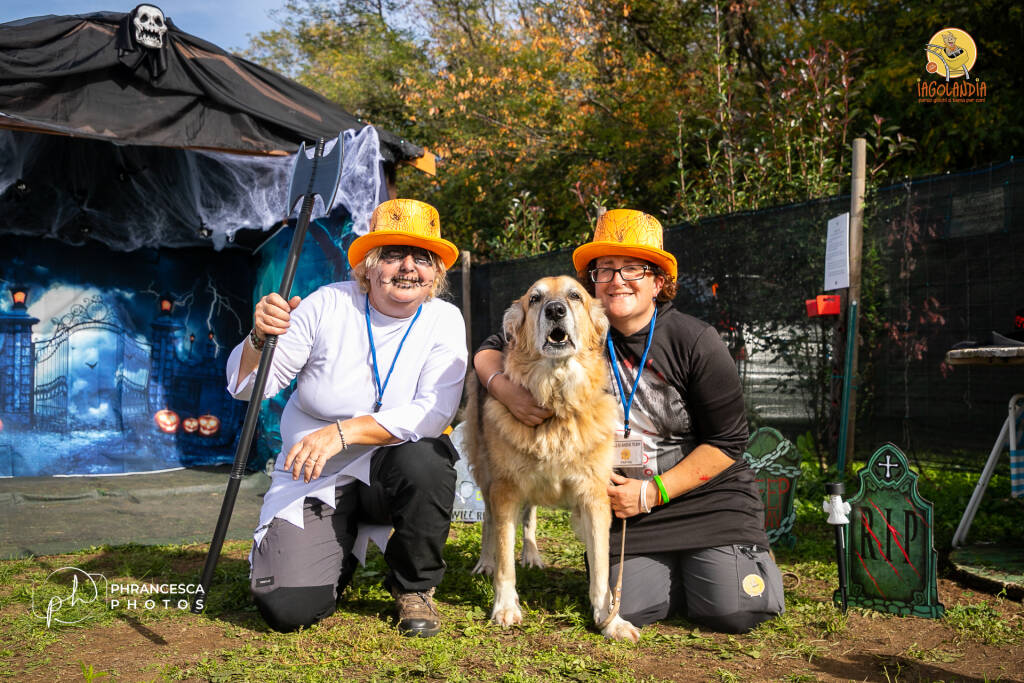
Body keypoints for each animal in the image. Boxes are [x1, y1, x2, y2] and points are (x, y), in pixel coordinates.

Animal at [466, 274, 638, 643]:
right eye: (535, 299)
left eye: (575, 296)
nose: (555, 310)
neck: (557, 400)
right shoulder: (505, 488)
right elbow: (505, 558)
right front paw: (505, 606)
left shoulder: (595, 497)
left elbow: (601, 570)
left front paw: (610, 619)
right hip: (487, 474)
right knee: (488, 520)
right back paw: (485, 561)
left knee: (530, 516)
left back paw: (531, 553)